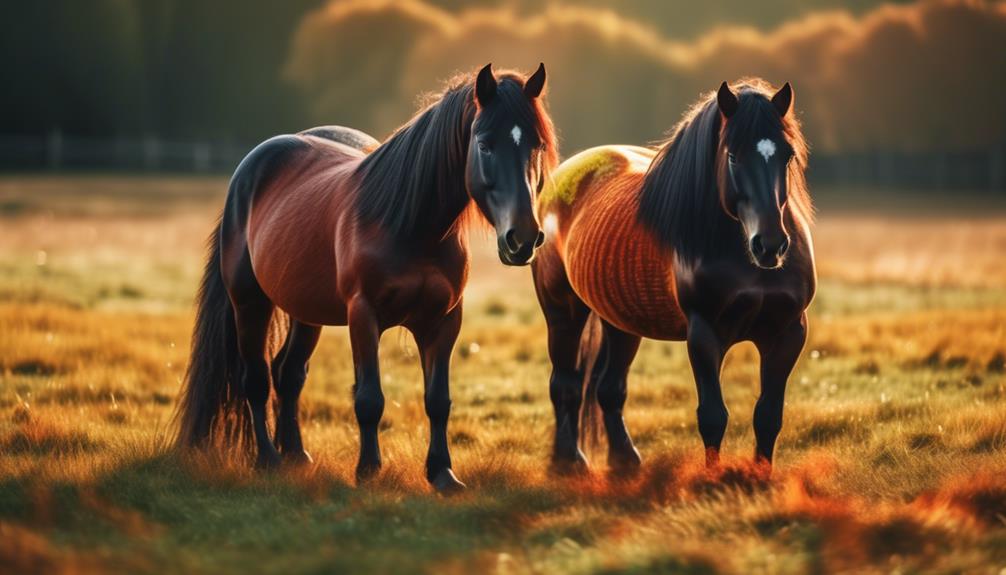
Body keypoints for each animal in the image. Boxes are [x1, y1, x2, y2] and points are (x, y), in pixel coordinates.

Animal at [178, 64, 563, 494]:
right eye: (484, 144)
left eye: (537, 145)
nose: (523, 239)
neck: (413, 228)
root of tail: (250, 167)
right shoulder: (363, 316)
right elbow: (369, 399)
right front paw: (368, 471)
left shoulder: (444, 321)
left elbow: (438, 401)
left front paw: (443, 474)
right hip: (249, 303)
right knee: (256, 379)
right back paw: (269, 461)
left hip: (305, 312)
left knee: (287, 374)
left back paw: (297, 456)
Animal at [539, 79, 812, 476]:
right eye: (733, 156)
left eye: (788, 155)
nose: (771, 245)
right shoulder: (703, 333)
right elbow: (713, 415)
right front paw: (712, 479)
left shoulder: (789, 332)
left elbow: (768, 415)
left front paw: (761, 476)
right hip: (563, 311)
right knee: (565, 385)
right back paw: (569, 462)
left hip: (621, 321)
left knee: (608, 388)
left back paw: (625, 462)